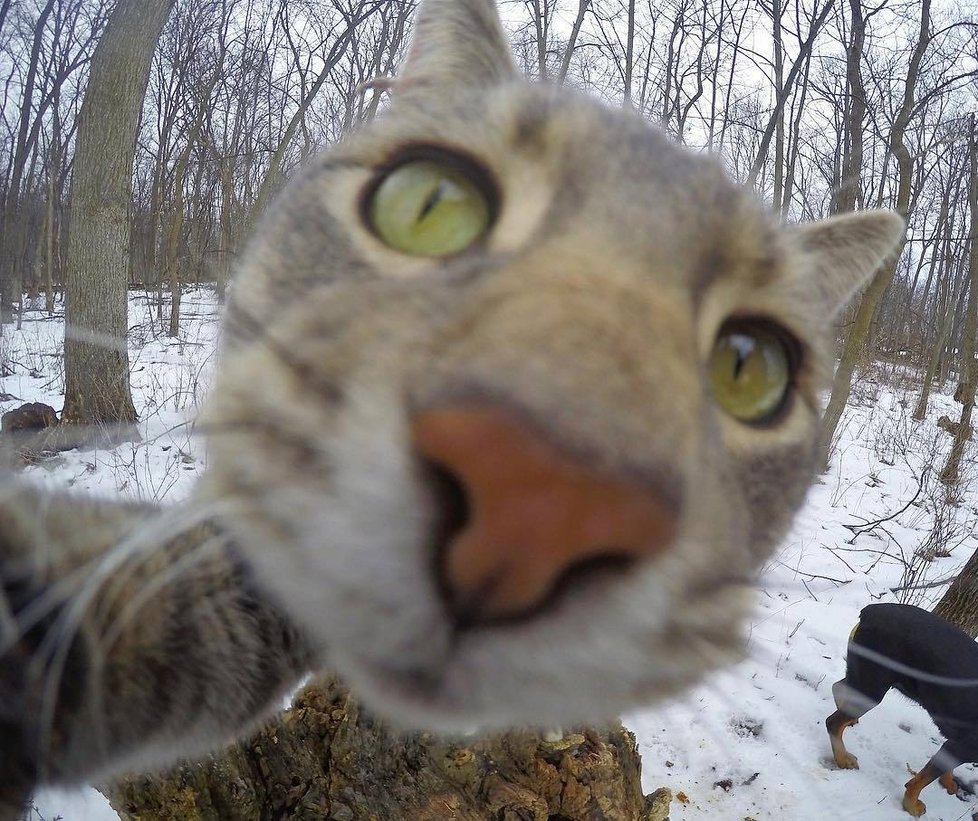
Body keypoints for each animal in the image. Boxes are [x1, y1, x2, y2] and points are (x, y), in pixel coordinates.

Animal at [824, 604, 976, 812]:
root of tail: (871, 610)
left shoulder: (955, 745)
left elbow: (943, 769)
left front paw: (949, 782)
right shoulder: (963, 746)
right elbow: (921, 781)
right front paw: (911, 805)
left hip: (864, 678)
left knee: (838, 688)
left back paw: (850, 724)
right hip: (873, 686)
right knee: (833, 721)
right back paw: (842, 758)